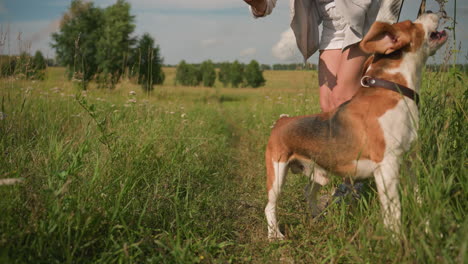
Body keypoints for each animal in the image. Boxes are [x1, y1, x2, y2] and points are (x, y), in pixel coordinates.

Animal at [266, 12, 448, 239]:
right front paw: (396, 238)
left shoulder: (409, 160)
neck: (394, 89)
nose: (430, 10)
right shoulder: (387, 166)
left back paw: (317, 216)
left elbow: (417, 197)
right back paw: (275, 236)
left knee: (308, 192)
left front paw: (425, 227)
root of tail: (281, 121)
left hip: (317, 172)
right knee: (269, 207)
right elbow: (394, 209)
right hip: (277, 174)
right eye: (411, 23)